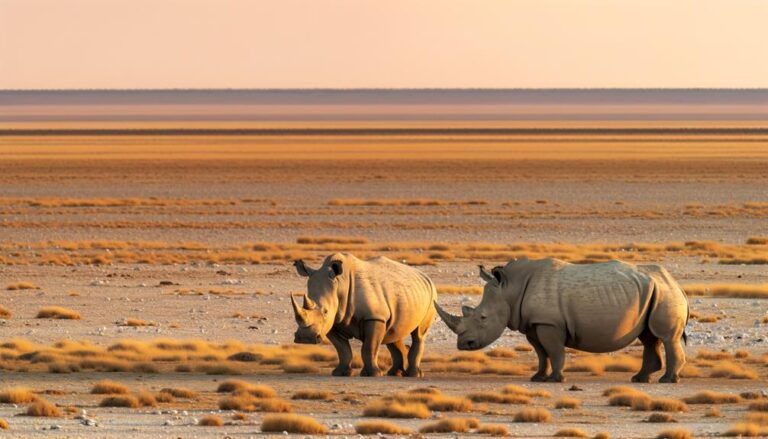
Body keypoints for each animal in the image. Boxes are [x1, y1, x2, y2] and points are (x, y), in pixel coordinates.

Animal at [291, 253, 436, 377]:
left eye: (325, 311)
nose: (305, 338)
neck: (340, 286)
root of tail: (426, 277)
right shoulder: (333, 322)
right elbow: (342, 349)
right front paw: (340, 373)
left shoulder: (374, 317)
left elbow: (369, 347)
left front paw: (373, 374)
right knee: (393, 332)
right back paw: (395, 373)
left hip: (431, 295)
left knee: (418, 334)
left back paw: (413, 374)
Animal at [435, 258, 689, 383]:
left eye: (482, 317)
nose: (463, 345)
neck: (511, 289)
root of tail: (676, 283)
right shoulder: (533, 324)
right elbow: (541, 353)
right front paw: (537, 378)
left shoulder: (549, 323)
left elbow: (555, 351)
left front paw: (555, 379)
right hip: (654, 292)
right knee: (649, 337)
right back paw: (639, 379)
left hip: (665, 294)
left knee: (666, 338)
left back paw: (667, 380)